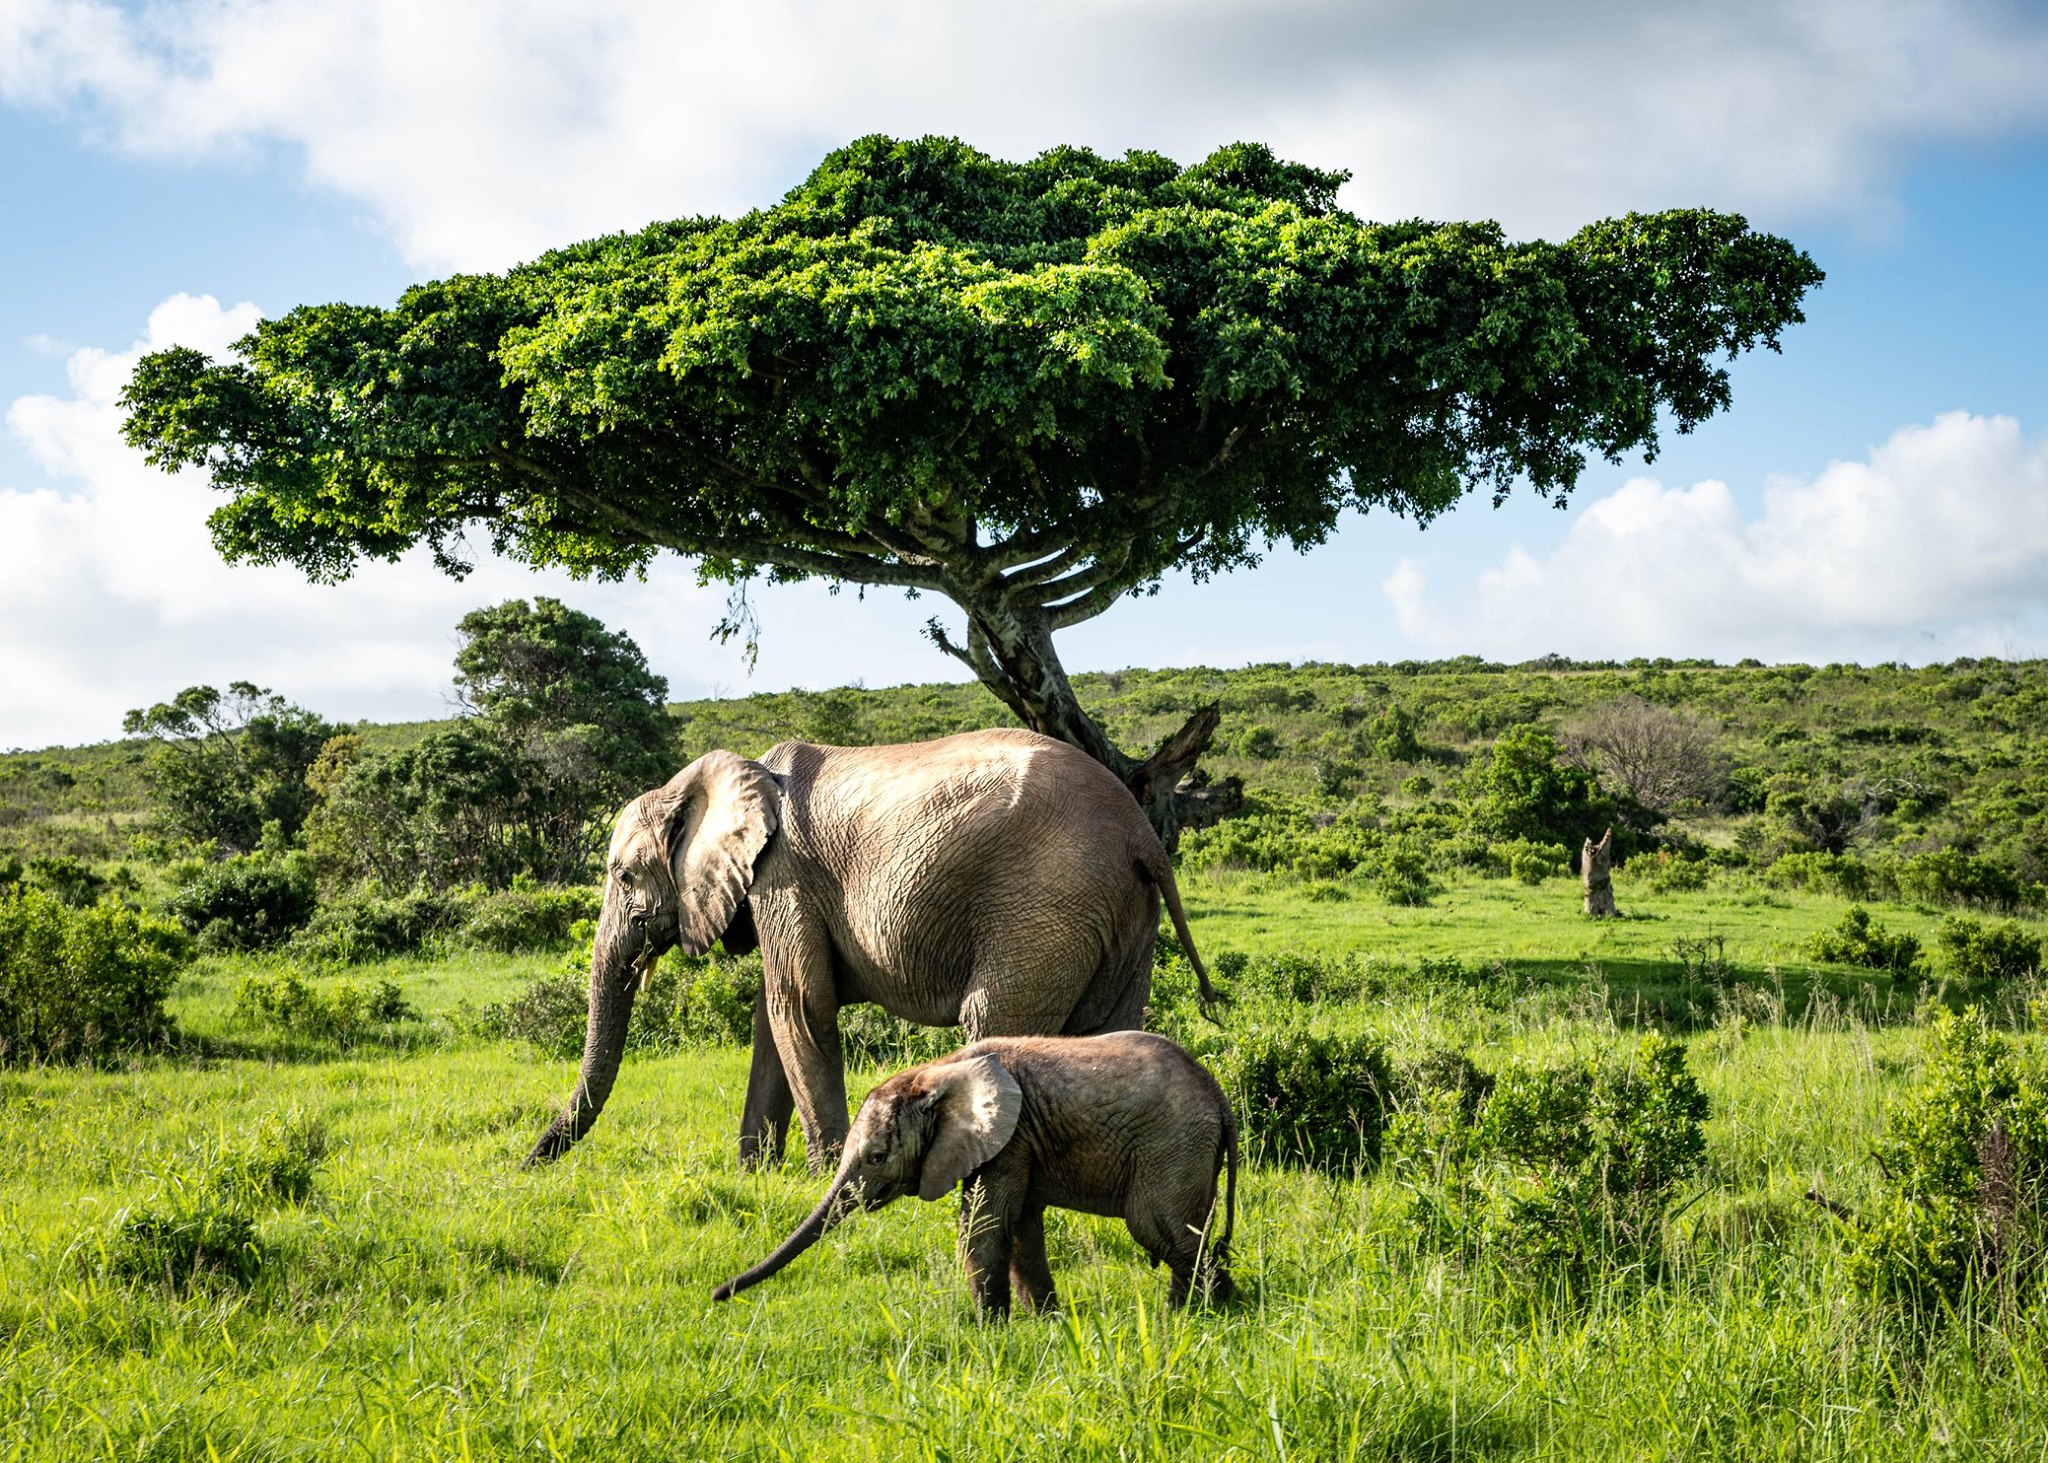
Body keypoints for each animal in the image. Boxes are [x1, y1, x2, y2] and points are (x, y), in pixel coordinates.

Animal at [520, 725, 1212, 1172]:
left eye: (622, 876)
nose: (526, 1165)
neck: (707, 781)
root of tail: (1140, 834)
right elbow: (772, 1021)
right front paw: (753, 1174)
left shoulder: (785, 877)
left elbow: (799, 1009)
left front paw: (826, 1175)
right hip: (1123, 917)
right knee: (1109, 1031)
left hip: (1046, 906)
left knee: (996, 1020)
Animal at [712, 1024, 1236, 1311]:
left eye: (877, 1158)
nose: (718, 1295)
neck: (937, 1074)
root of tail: (1220, 1097)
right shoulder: (1021, 1143)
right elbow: (1021, 1227)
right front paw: (1045, 1323)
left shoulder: (1011, 1139)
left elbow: (983, 1225)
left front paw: (989, 1329)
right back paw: (1213, 1308)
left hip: (1171, 1145)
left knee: (1161, 1228)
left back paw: (1198, 1315)